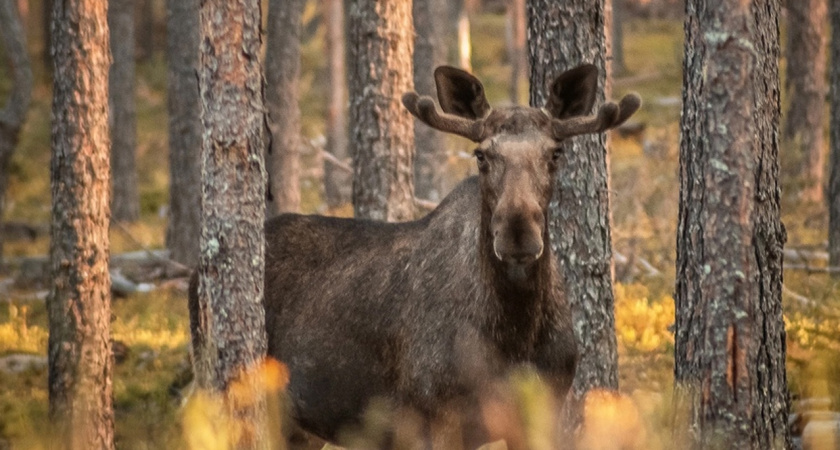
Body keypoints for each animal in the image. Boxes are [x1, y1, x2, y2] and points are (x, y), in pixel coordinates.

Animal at [189, 65, 636, 448]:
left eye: (555, 154)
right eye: (481, 155)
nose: (517, 233)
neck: (515, 333)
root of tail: (196, 271)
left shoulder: (544, 409)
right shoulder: (436, 415)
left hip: (302, 427)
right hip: (222, 387)